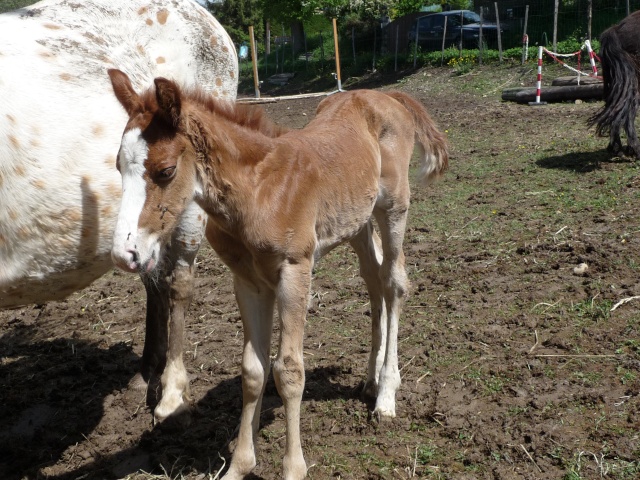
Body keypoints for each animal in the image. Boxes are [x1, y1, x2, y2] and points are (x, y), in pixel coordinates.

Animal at [109, 70, 450, 480]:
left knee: (395, 281)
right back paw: (370, 380)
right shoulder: (248, 282)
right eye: (118, 167)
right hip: (357, 221)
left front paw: (293, 468)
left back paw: (386, 395)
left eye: (165, 171)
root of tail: (384, 96)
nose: (125, 254)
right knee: (374, 278)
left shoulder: (294, 270)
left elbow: (288, 371)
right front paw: (240, 465)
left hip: (394, 207)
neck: (258, 191)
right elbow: (253, 370)